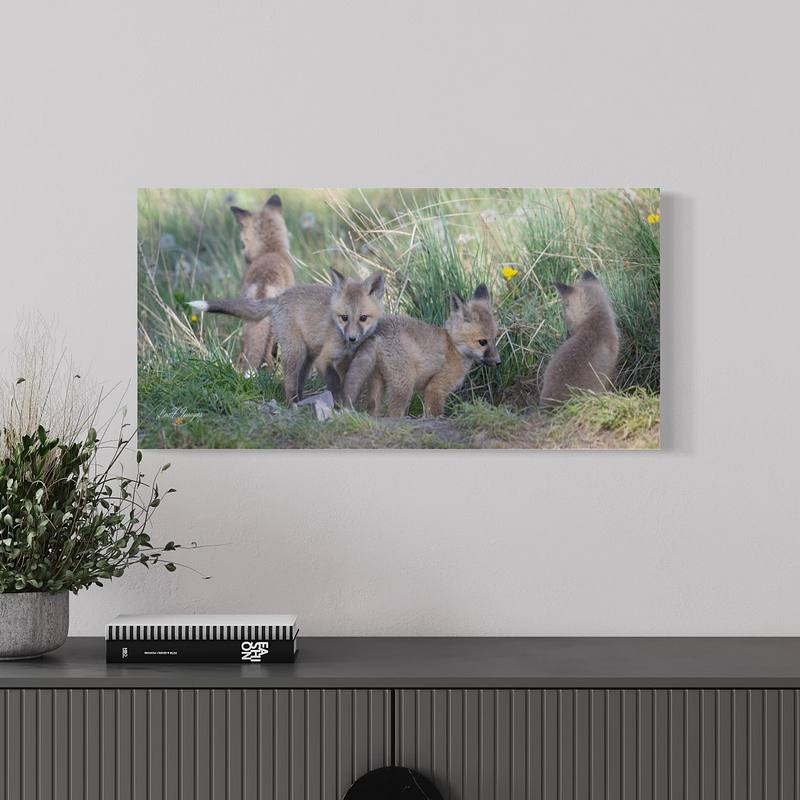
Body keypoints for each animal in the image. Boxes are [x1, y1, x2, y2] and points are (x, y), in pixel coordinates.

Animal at [189, 268, 384, 404]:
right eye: (344, 317)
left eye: (363, 318)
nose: (352, 338)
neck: (346, 346)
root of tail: (279, 297)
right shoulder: (324, 359)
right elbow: (334, 382)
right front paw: (338, 401)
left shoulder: (346, 362)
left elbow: (347, 383)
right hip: (296, 352)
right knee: (288, 384)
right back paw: (293, 405)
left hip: (306, 359)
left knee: (298, 382)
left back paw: (302, 400)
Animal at [230, 194, 295, 370]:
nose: (245, 255)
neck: (270, 250)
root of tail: (263, 284)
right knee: (268, 357)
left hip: (247, 323)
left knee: (247, 354)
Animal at [343, 284, 501, 417]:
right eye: (482, 342)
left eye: (494, 338)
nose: (498, 362)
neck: (453, 346)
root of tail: (378, 330)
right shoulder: (435, 388)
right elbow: (434, 414)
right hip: (404, 385)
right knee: (394, 413)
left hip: (377, 383)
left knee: (373, 410)